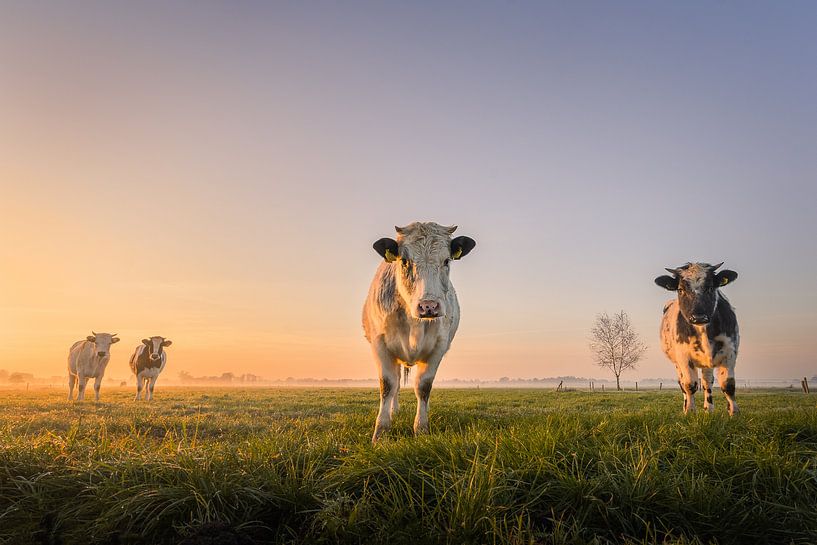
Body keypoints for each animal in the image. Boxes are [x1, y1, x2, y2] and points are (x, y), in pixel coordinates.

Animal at [360, 221, 474, 442]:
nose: (428, 306)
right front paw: (381, 432)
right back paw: (393, 412)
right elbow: (388, 385)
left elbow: (423, 387)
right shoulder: (380, 345)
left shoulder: (438, 347)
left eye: (446, 260)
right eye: (404, 261)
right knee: (395, 384)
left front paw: (421, 429)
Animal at [656, 262, 740, 414]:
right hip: (677, 363)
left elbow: (728, 385)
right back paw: (686, 406)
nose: (698, 317)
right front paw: (690, 411)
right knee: (683, 383)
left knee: (707, 382)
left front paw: (734, 412)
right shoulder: (683, 357)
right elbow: (690, 385)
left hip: (707, 364)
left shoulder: (730, 352)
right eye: (680, 290)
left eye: (711, 287)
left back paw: (709, 408)